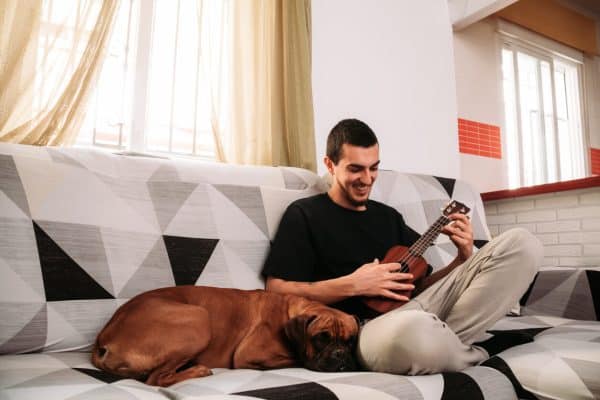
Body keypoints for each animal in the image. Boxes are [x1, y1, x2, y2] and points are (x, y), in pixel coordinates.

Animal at [91, 286, 358, 386]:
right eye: (321, 338)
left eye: (351, 340)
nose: (341, 355)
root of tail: (105, 335)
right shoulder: (248, 355)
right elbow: (298, 359)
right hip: (199, 319)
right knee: (156, 378)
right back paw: (197, 371)